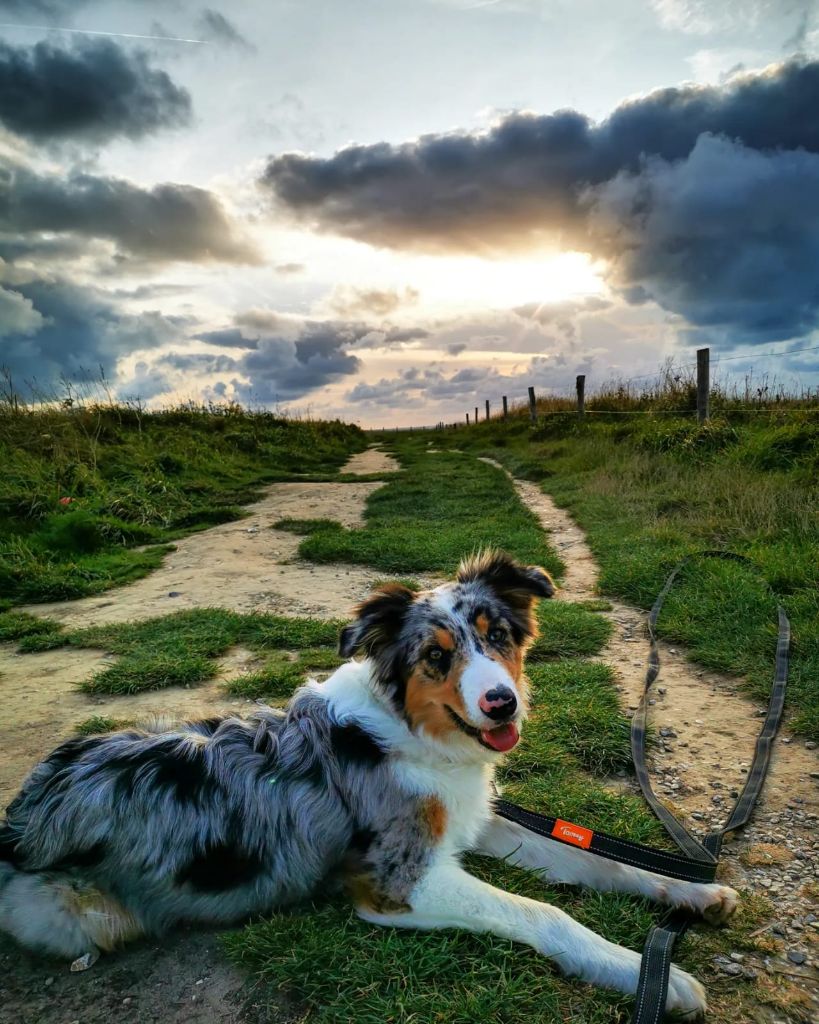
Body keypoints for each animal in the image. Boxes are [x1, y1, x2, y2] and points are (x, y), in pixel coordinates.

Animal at [1, 552, 737, 1015]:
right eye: (436, 655)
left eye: (498, 635)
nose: (502, 704)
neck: (409, 731)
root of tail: (19, 816)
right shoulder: (398, 880)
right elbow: (542, 911)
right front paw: (652, 978)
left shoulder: (473, 819)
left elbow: (594, 859)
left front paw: (692, 891)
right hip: (78, 915)